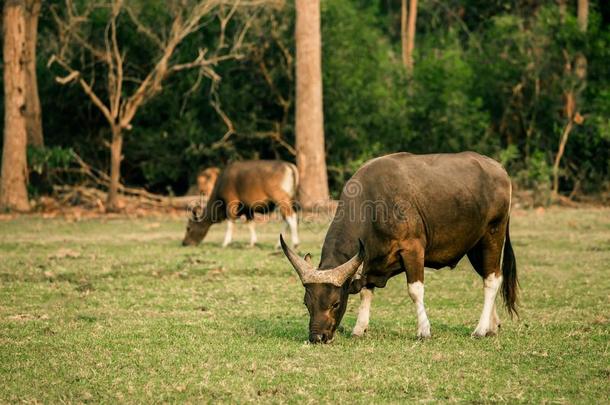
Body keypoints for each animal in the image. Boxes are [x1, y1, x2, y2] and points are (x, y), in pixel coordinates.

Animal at [280, 151, 512, 340]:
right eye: (307, 303)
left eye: (335, 303)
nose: (317, 337)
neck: (374, 205)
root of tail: (499, 170)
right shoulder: (370, 260)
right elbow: (366, 291)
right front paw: (359, 329)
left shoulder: (413, 249)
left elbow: (415, 290)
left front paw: (424, 331)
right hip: (475, 247)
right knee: (489, 276)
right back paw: (492, 326)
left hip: (493, 235)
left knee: (492, 280)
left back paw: (480, 330)